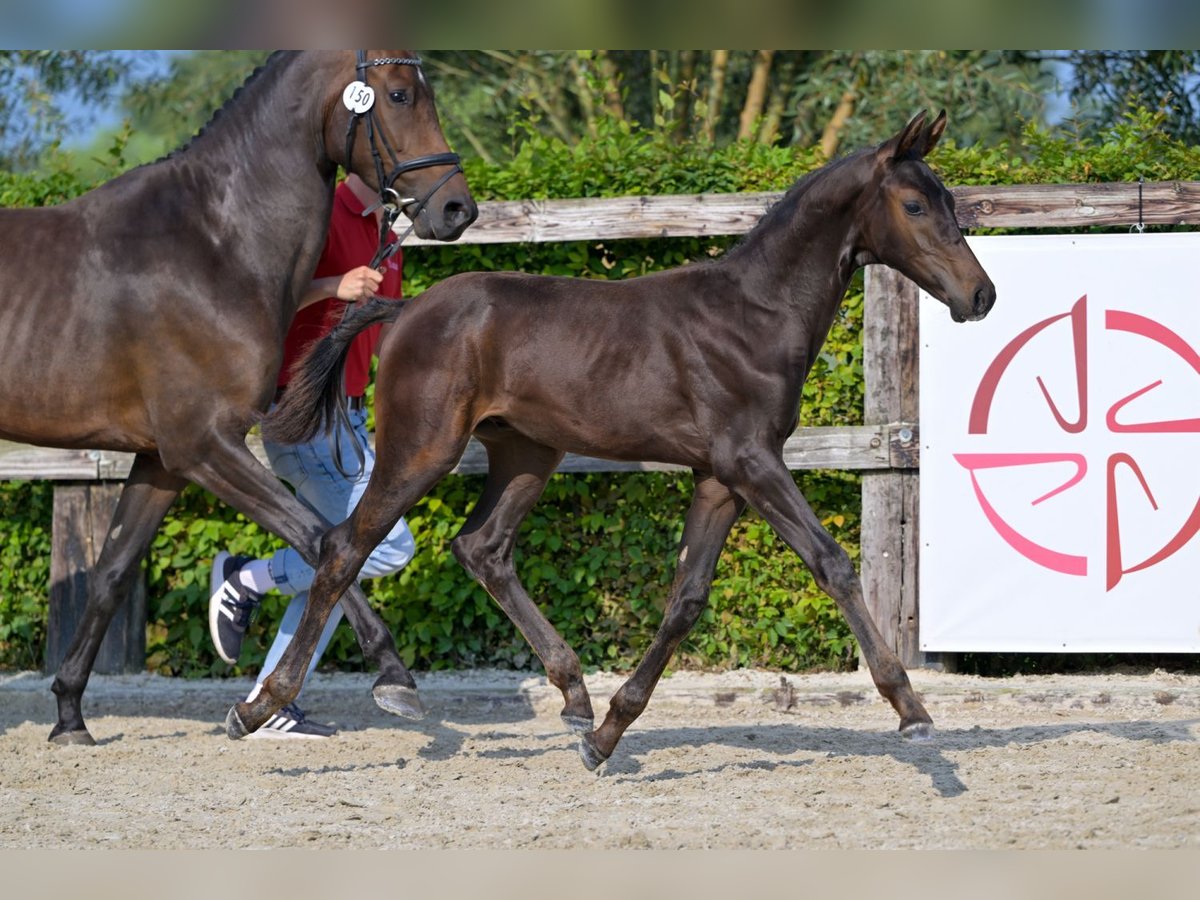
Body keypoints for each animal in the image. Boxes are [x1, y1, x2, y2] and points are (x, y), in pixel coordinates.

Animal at [0, 51, 477, 748]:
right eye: (397, 95)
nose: (457, 209)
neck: (213, 245)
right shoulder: (206, 445)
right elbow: (322, 540)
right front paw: (392, 675)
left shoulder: (163, 459)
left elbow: (112, 574)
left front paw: (68, 717)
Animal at [241, 109, 993, 772]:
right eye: (914, 205)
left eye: (949, 200)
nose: (980, 296)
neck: (755, 315)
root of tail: (403, 309)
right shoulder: (753, 461)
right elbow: (832, 563)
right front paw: (913, 713)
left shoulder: (720, 477)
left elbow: (686, 599)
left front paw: (606, 735)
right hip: (422, 450)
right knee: (344, 547)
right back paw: (265, 705)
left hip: (526, 453)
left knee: (482, 548)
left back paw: (574, 696)